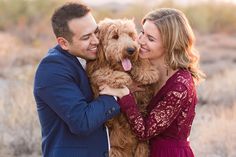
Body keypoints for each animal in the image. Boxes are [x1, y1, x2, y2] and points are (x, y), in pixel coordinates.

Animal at [86, 19, 159, 156]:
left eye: (131, 35)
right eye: (115, 36)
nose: (131, 49)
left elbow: (143, 62)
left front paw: (146, 72)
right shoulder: (95, 74)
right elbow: (101, 73)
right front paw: (121, 78)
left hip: (142, 148)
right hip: (114, 151)